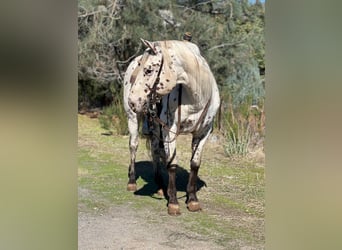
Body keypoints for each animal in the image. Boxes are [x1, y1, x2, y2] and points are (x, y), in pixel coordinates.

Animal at [123, 39, 219, 215]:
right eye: (141, 67)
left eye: (148, 70)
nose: (132, 101)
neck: (196, 97)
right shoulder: (169, 130)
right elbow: (172, 163)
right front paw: (173, 202)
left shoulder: (204, 132)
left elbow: (195, 163)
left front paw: (192, 199)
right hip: (133, 118)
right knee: (133, 146)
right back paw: (132, 181)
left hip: (155, 127)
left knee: (155, 150)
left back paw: (160, 185)